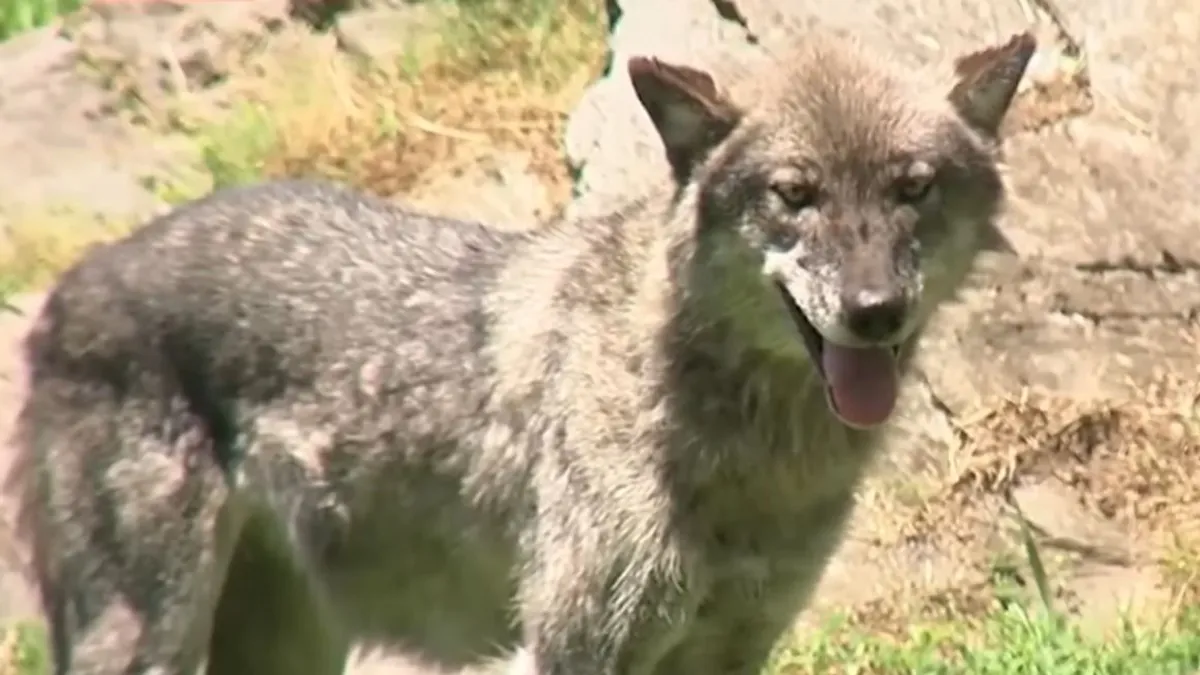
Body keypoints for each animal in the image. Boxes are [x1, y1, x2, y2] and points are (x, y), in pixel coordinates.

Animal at [8, 29, 1035, 675]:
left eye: (913, 189)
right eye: (795, 193)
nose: (875, 311)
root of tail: (74, 280)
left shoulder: (732, 647)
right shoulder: (573, 645)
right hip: (148, 635)